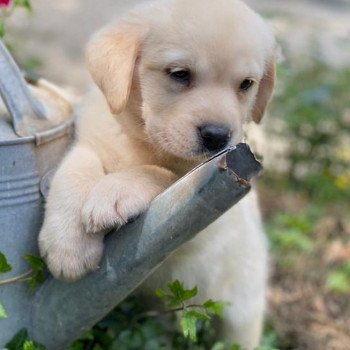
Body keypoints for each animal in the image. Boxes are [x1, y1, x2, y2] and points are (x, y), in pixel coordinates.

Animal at [39, 1, 276, 348]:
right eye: (180, 75)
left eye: (246, 84)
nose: (218, 136)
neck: (144, 142)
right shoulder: (90, 140)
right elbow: (75, 172)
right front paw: (68, 245)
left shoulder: (204, 205)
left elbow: (161, 174)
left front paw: (114, 193)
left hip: (242, 308)